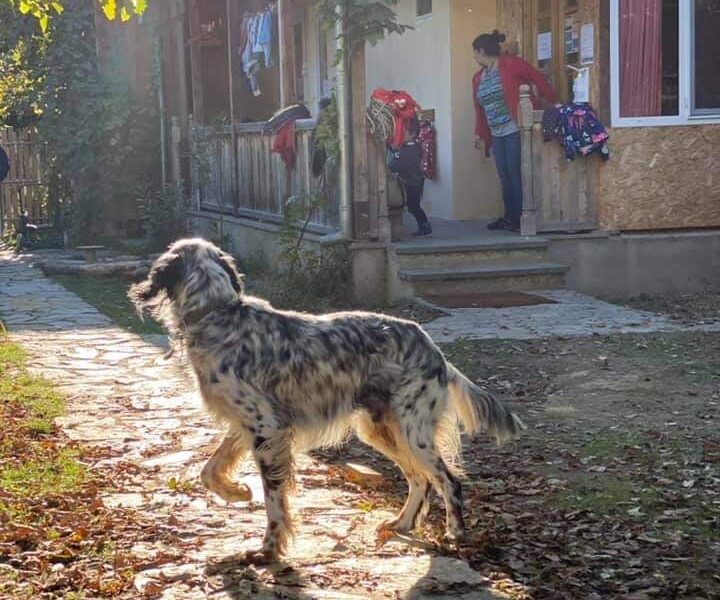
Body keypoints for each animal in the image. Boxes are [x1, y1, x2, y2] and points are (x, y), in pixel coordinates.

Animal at [129, 238, 524, 564]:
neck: (218, 313)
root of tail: (435, 349)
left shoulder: (267, 430)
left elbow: (274, 503)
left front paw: (267, 550)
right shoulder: (245, 425)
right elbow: (209, 470)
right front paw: (238, 492)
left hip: (414, 432)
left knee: (448, 481)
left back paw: (455, 533)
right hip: (381, 429)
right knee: (419, 480)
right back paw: (401, 524)